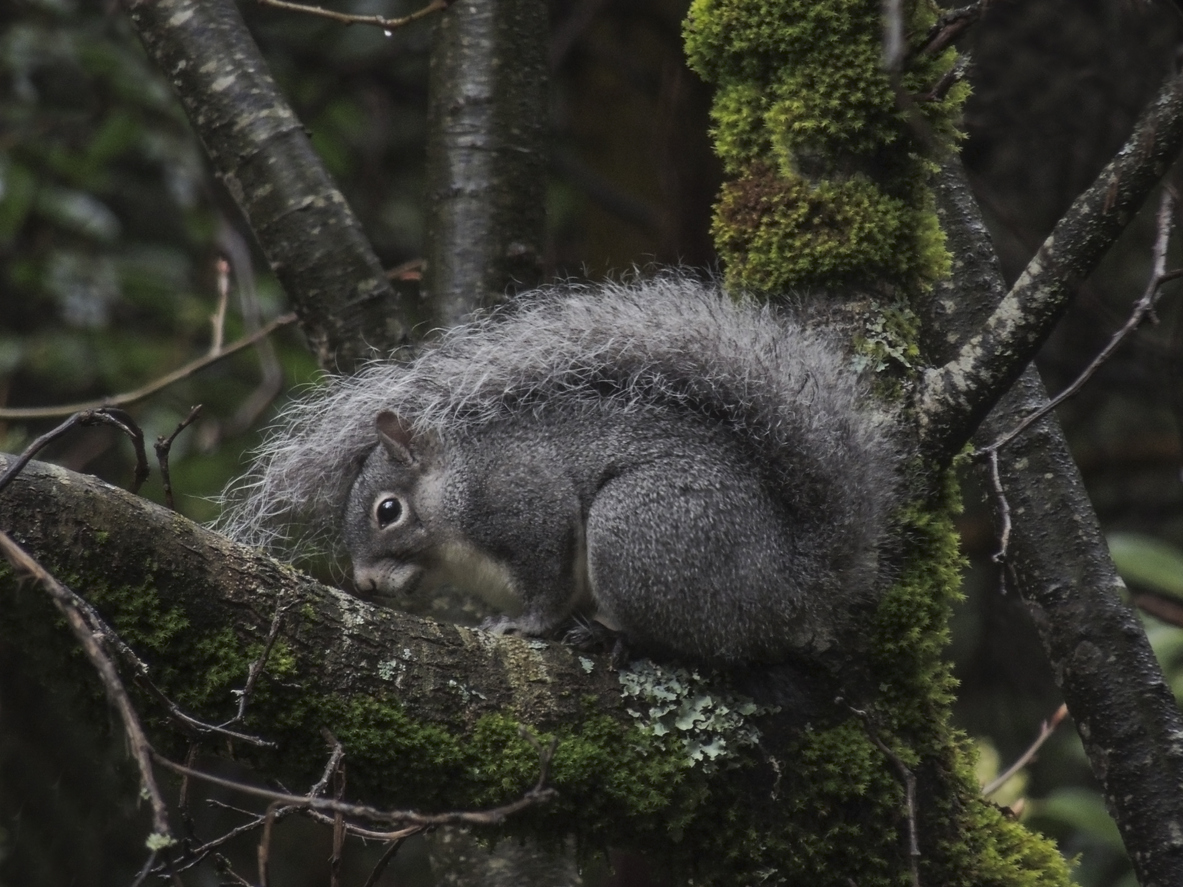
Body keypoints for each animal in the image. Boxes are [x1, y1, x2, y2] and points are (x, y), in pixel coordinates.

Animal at [217, 276, 899, 667]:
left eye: (388, 511)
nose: (364, 583)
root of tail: (788, 586)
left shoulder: (522, 505)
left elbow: (546, 582)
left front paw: (526, 626)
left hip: (641, 530)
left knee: (685, 638)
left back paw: (609, 636)